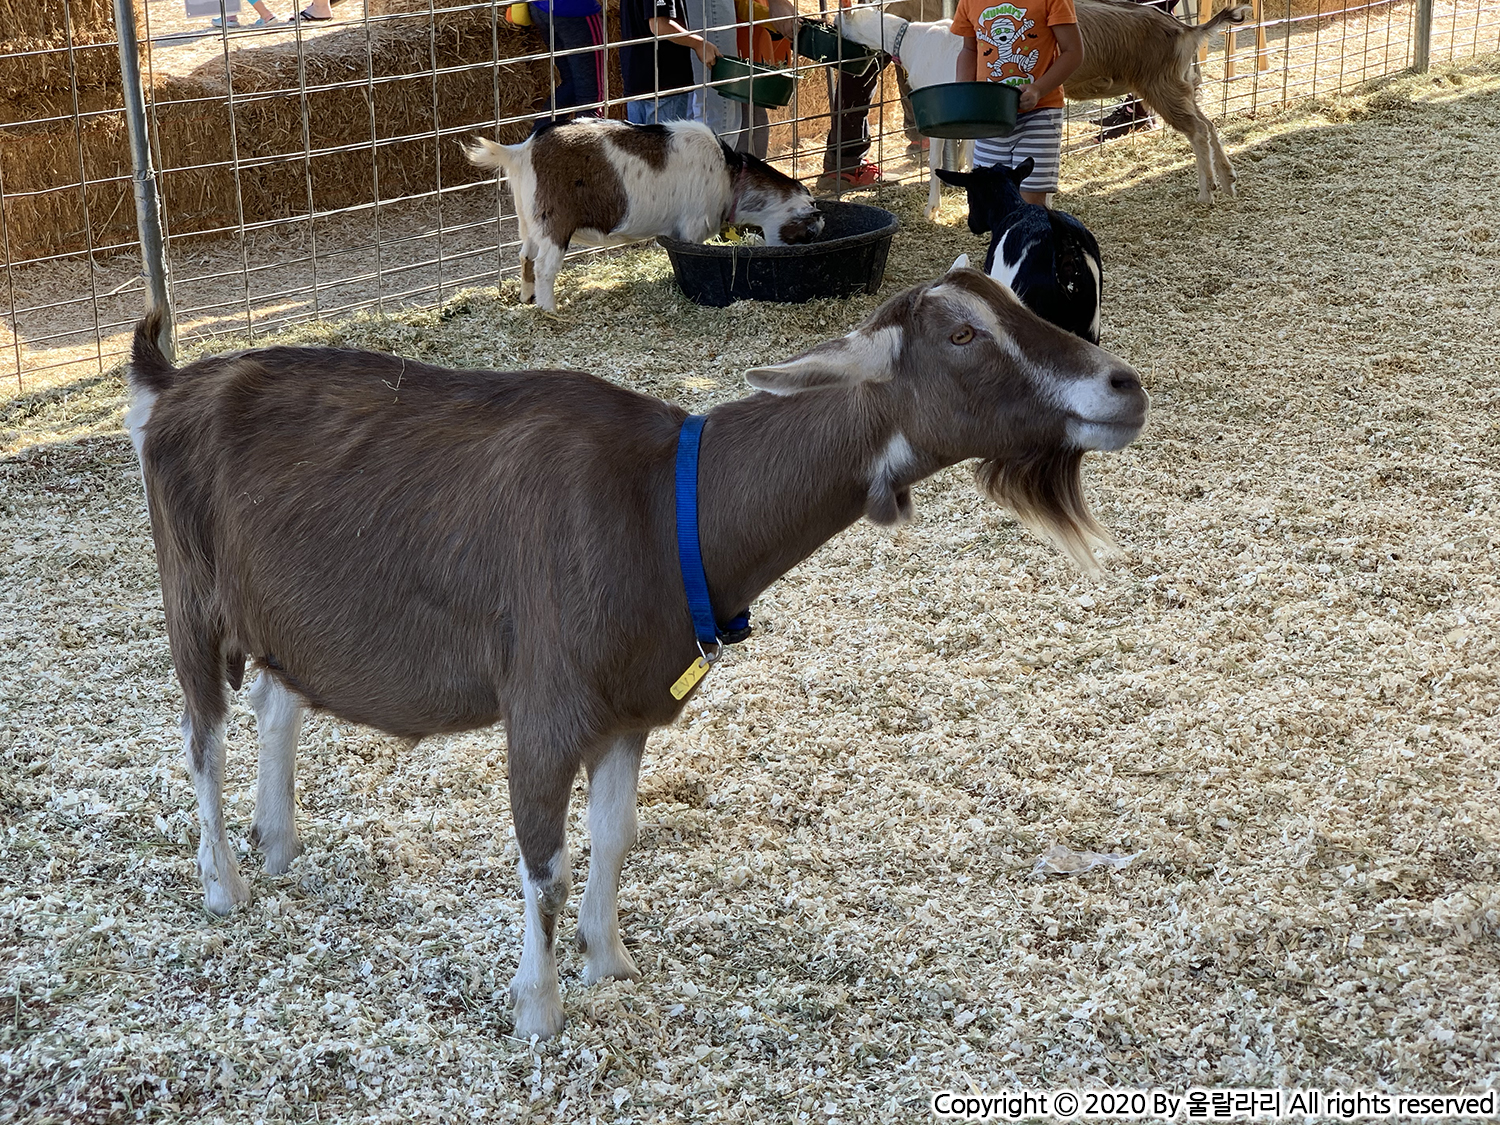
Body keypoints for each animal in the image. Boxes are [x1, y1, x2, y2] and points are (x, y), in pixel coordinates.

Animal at [129, 268, 1146, 1044]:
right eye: (963, 334)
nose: (1123, 387)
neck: (668, 507)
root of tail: (168, 385)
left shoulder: (630, 709)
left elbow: (616, 834)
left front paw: (608, 960)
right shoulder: (544, 705)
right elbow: (544, 858)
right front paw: (538, 1010)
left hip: (281, 613)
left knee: (277, 701)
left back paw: (279, 843)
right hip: (188, 592)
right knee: (200, 733)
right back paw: (223, 884)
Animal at [465, 117, 828, 313]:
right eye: (808, 232)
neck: (730, 175)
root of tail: (521, 151)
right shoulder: (691, 228)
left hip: (530, 219)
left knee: (525, 256)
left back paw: (527, 298)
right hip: (556, 221)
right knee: (544, 266)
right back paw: (550, 310)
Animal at [846, 0, 1254, 207]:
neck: (913, 39)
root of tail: (1184, 29)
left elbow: (936, 162)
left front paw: (934, 208)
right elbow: (961, 153)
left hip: (1160, 85)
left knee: (1198, 130)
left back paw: (1206, 192)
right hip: (1177, 82)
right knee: (1209, 124)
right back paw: (1229, 180)